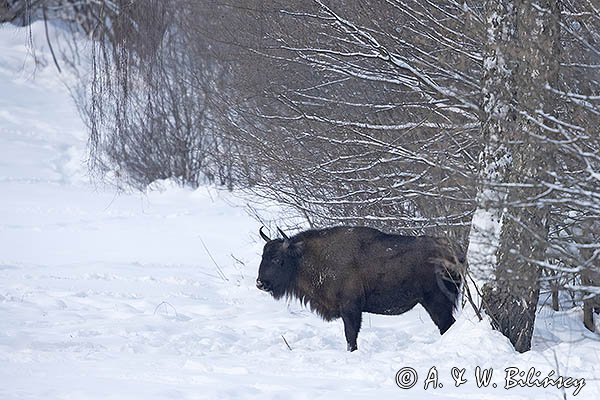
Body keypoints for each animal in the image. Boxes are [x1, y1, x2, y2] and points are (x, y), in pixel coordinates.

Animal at [256, 227, 464, 352]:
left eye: (277, 259)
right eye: (263, 257)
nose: (260, 283)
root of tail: (454, 252)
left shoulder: (350, 309)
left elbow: (351, 335)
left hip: (435, 302)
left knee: (446, 324)